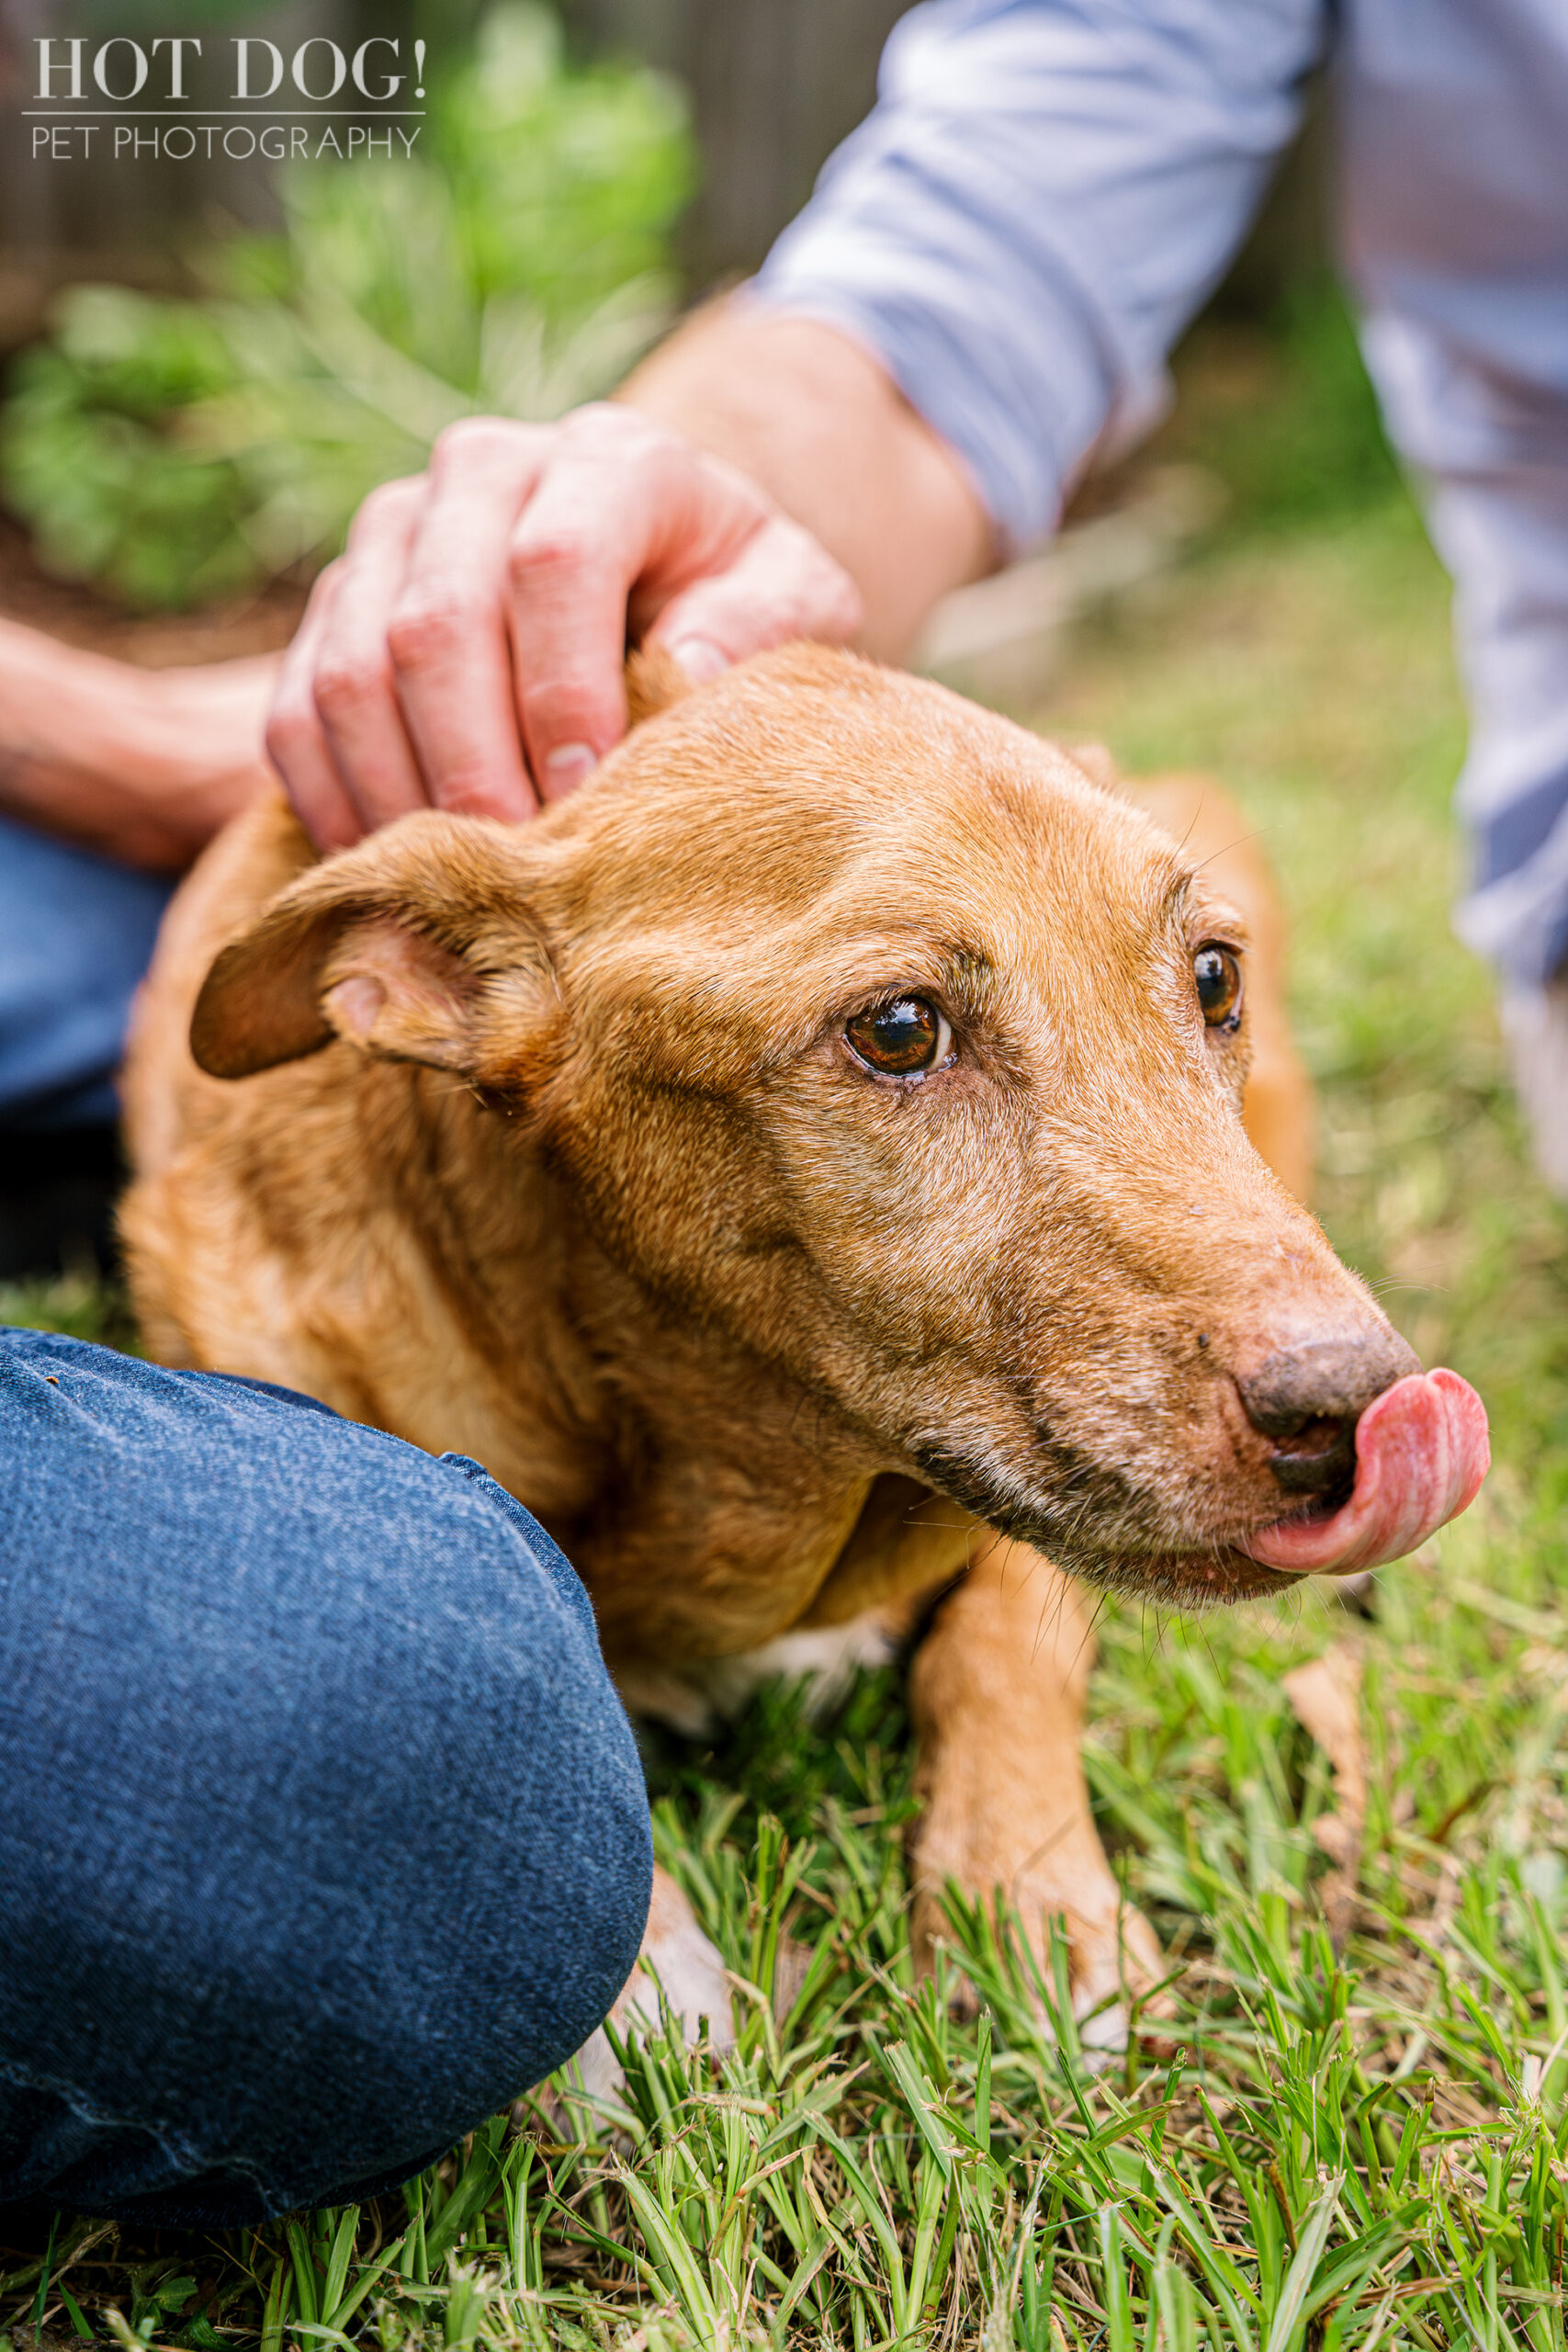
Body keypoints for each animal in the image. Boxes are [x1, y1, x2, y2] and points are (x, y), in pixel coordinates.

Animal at [122, 649, 1485, 2060]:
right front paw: (634, 1999)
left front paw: (1032, 1899)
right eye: (898, 1029)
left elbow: (999, 1648)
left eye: (1211, 979)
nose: (1364, 1410)